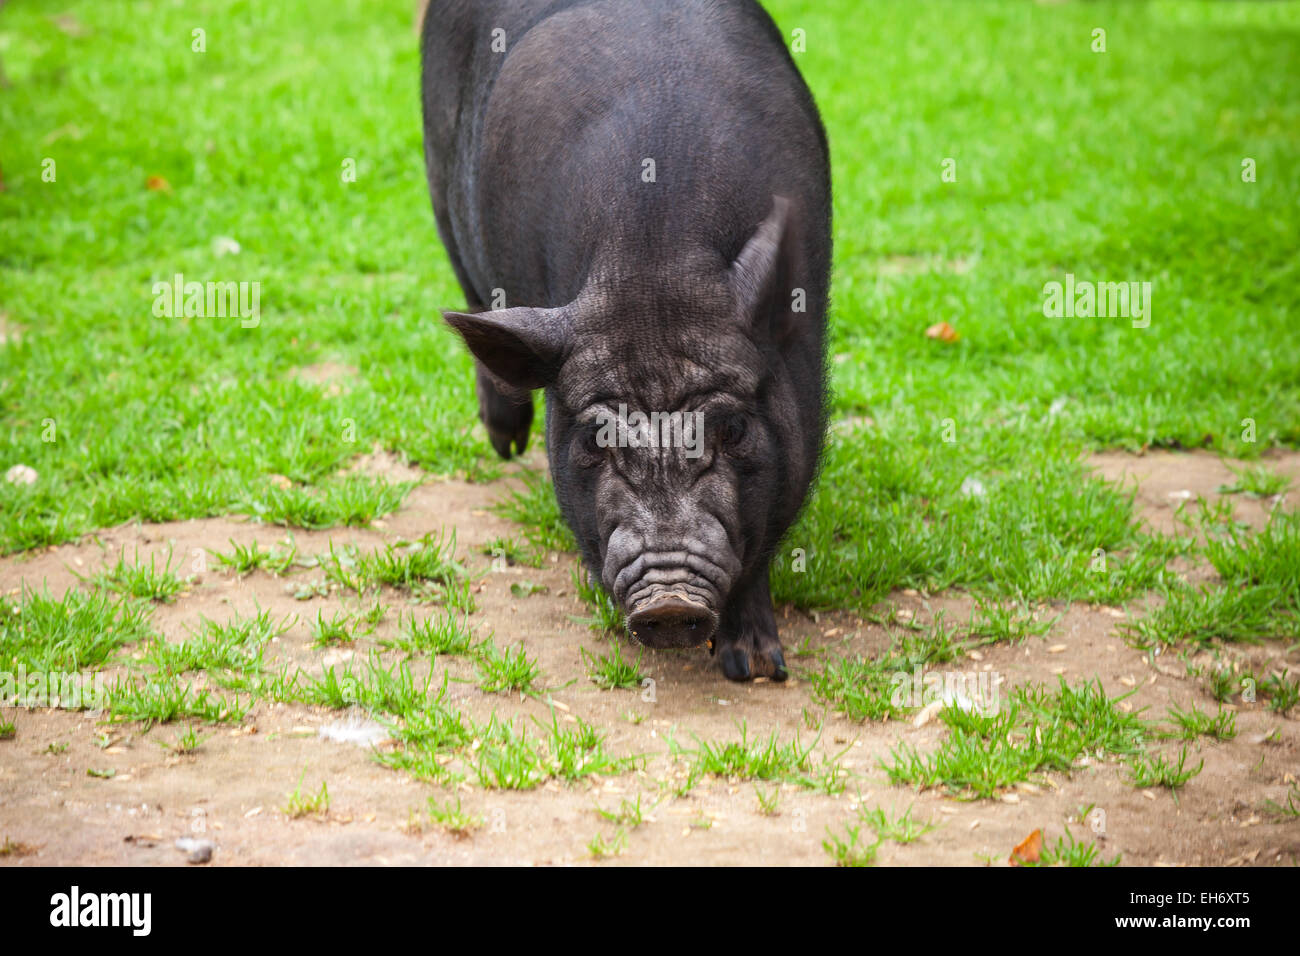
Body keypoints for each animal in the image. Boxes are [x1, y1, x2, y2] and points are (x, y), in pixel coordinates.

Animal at [426, 0, 832, 681]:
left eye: (733, 429)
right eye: (598, 436)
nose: (668, 603)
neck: (654, 266)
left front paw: (757, 668)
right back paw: (506, 445)